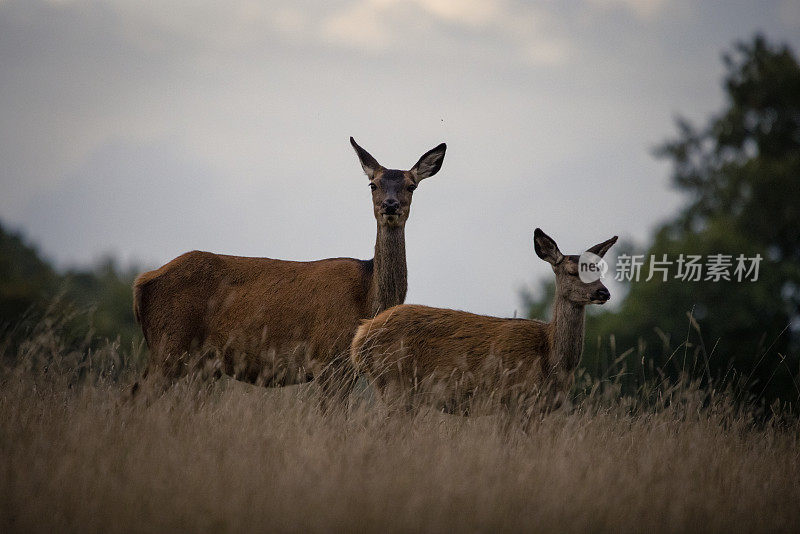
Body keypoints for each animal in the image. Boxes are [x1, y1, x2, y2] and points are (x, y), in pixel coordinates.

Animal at [137, 138, 446, 402]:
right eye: (373, 184)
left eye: (411, 186)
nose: (390, 205)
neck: (367, 299)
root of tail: (141, 282)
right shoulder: (328, 358)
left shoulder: (346, 369)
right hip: (170, 344)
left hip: (199, 364)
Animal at [350, 228, 620, 416]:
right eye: (573, 272)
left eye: (598, 270)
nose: (604, 292)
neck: (552, 359)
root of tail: (360, 337)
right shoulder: (512, 398)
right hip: (395, 381)